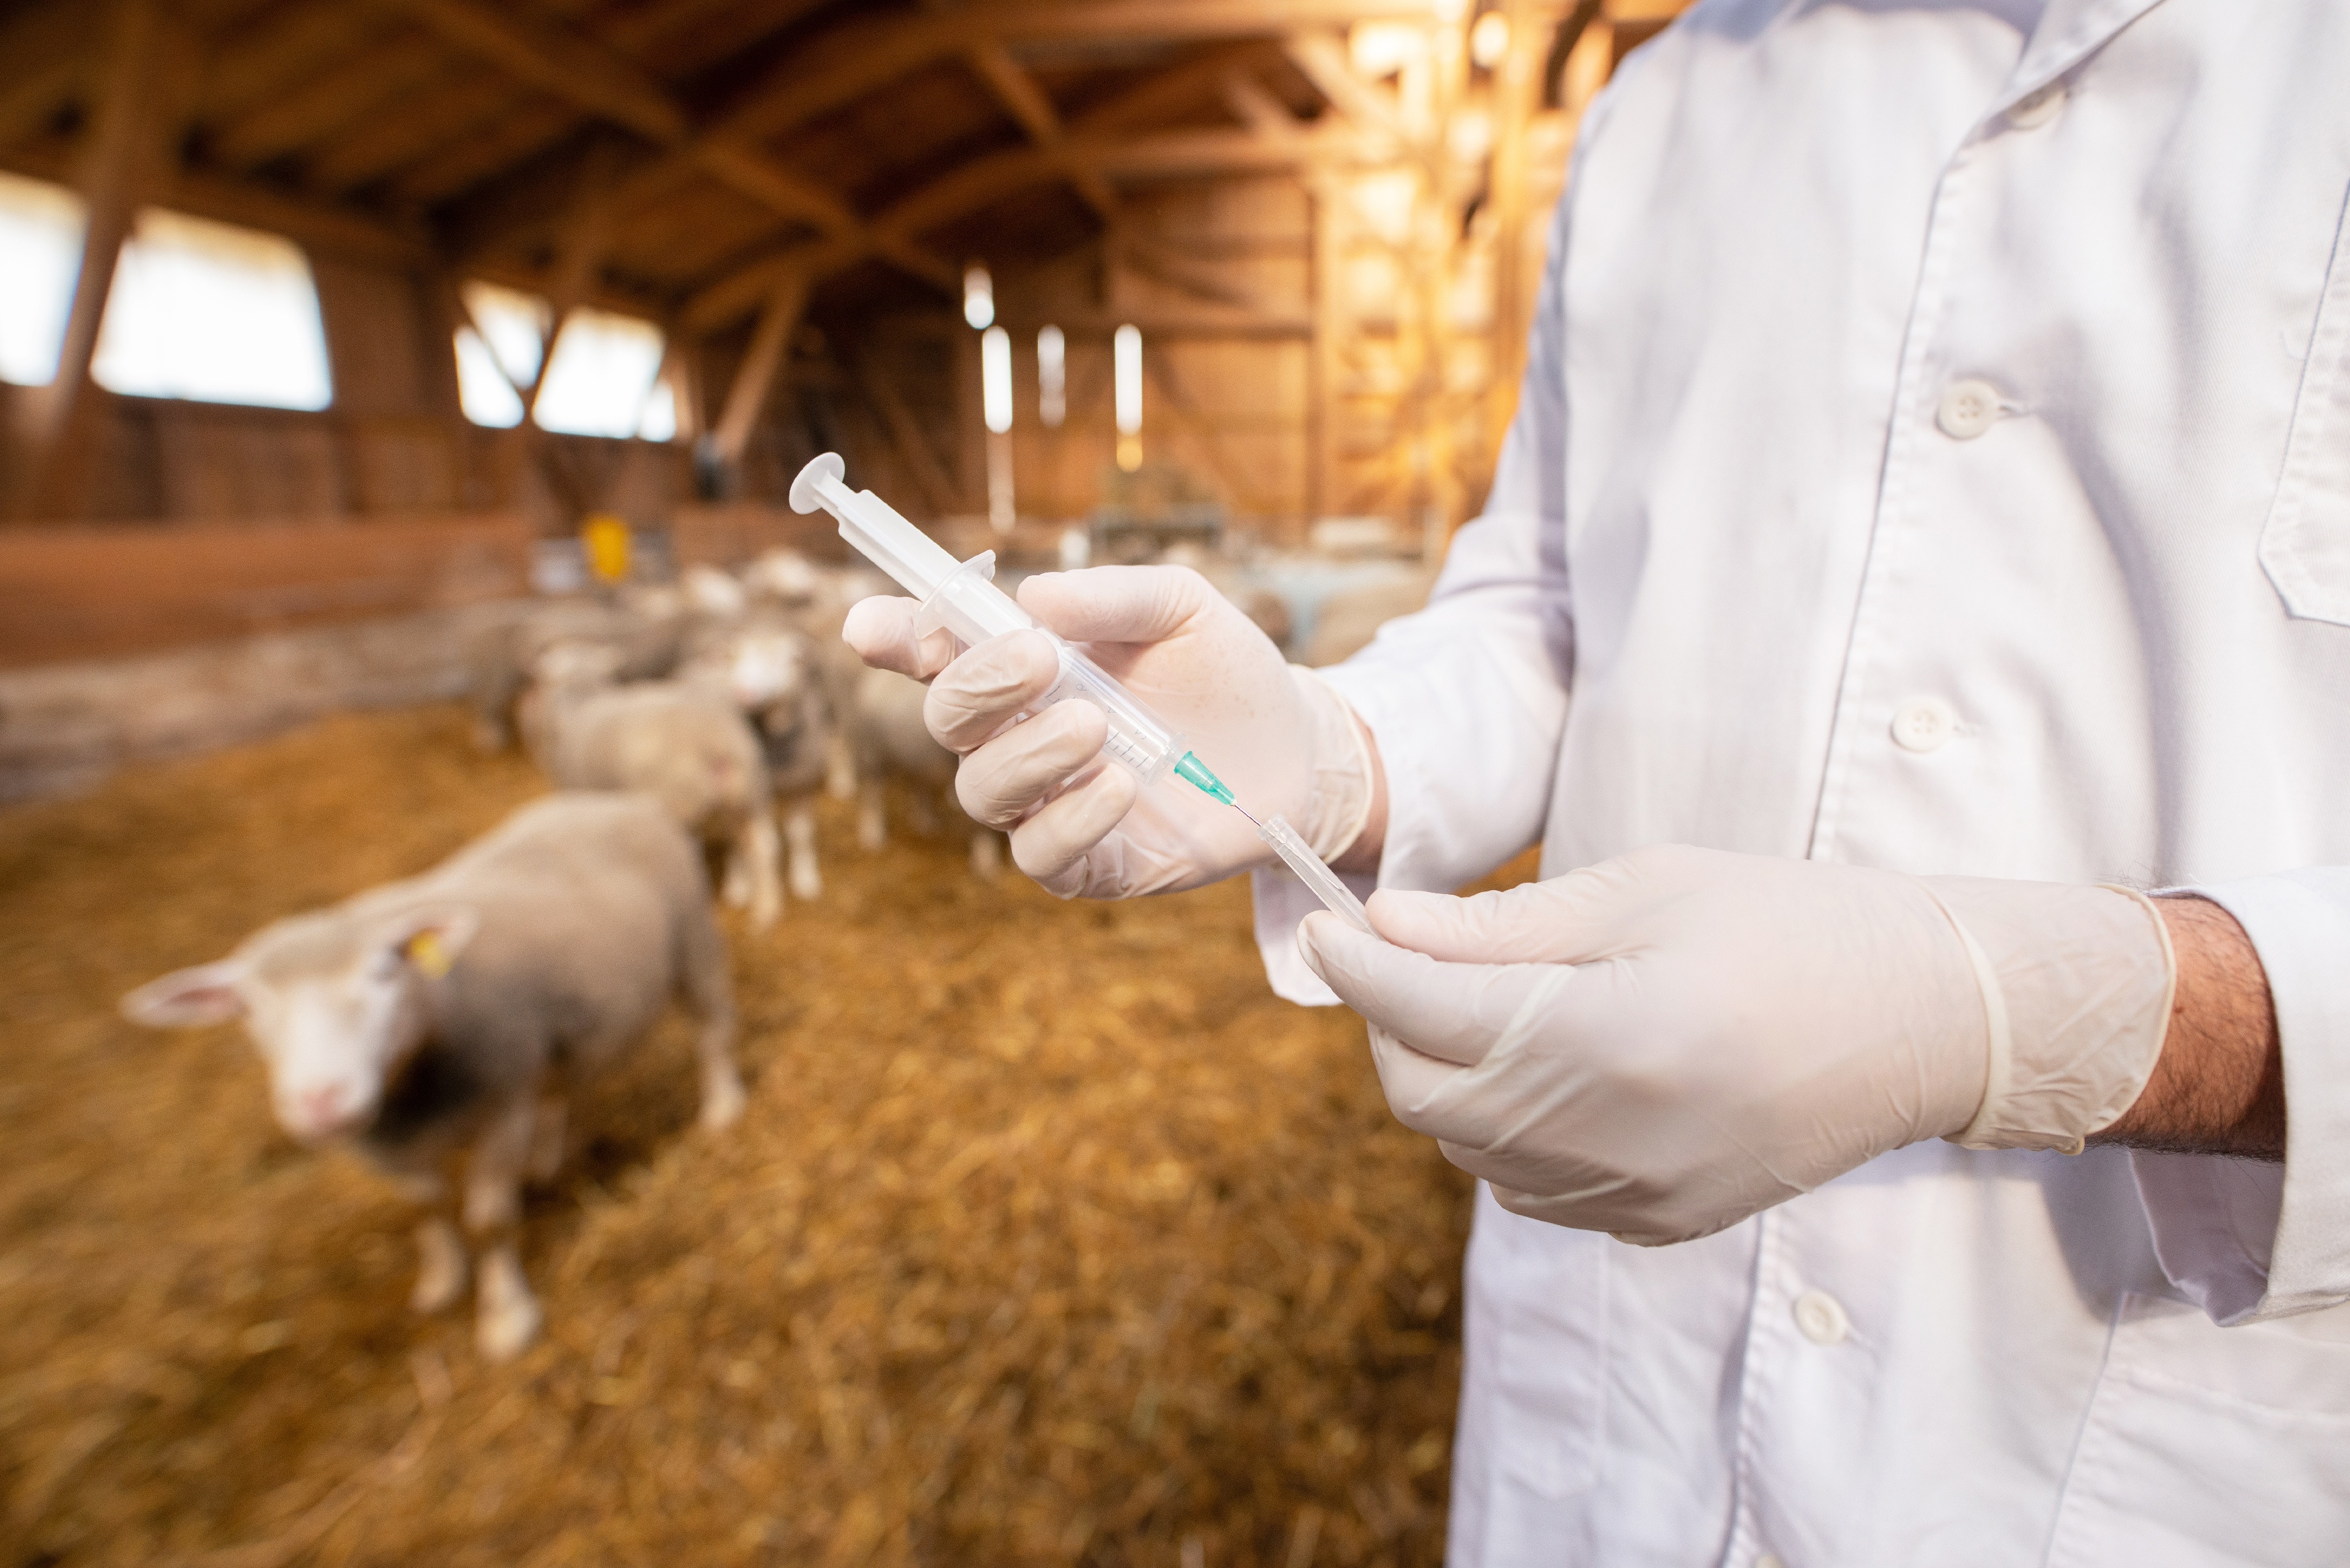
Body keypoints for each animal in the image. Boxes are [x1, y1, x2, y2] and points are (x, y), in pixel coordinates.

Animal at [122, 799, 743, 1363]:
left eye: (384, 972)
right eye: (249, 1006)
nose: (322, 1100)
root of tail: (613, 800)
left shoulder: (502, 1105)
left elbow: (489, 1222)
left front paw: (506, 1319)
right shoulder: (394, 1145)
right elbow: (427, 1205)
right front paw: (443, 1279)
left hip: (694, 945)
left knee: (712, 1030)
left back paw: (722, 1108)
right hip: (568, 1027)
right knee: (568, 1086)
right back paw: (551, 1157)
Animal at [851, 667, 996, 883]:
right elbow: (981, 827)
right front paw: (986, 866)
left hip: (915, 762)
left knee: (918, 788)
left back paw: (927, 822)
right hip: (872, 756)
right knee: (872, 796)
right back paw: (873, 837)